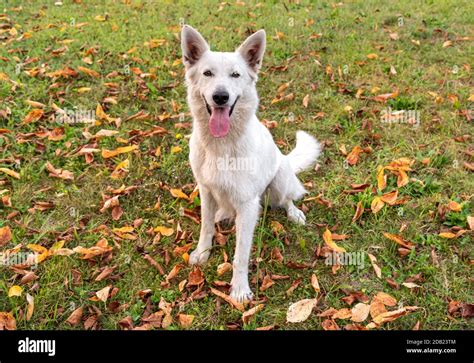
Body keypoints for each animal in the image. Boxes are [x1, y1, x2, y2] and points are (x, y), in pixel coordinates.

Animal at [181, 25, 322, 302]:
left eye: (235, 75)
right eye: (207, 73)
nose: (221, 97)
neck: (221, 146)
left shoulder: (247, 206)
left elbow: (241, 255)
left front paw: (239, 288)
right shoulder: (205, 191)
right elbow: (205, 228)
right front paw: (202, 253)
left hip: (279, 181)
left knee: (287, 199)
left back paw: (294, 213)